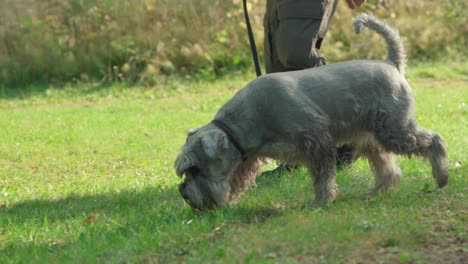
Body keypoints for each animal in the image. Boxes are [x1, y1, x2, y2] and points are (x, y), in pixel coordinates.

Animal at [175, 14, 450, 210]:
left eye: (194, 168)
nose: (183, 193)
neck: (247, 120)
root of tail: (391, 63)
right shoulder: (249, 157)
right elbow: (237, 178)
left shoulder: (317, 141)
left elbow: (322, 177)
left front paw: (320, 202)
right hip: (369, 138)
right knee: (387, 167)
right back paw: (375, 191)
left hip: (395, 131)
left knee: (433, 140)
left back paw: (442, 177)